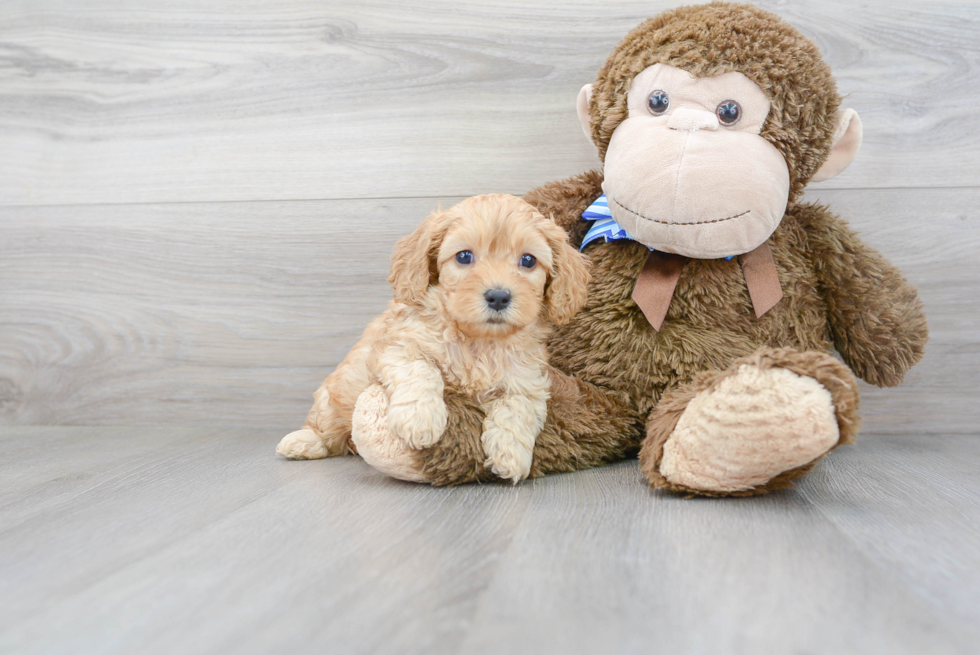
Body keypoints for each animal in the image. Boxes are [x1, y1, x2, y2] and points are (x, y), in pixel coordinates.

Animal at [276, 192, 588, 484]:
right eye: (464, 256)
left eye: (528, 260)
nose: (498, 296)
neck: (478, 339)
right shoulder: (399, 346)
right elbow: (422, 370)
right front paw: (420, 420)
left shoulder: (527, 380)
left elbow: (518, 408)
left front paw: (510, 454)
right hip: (335, 397)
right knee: (326, 428)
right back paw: (303, 442)